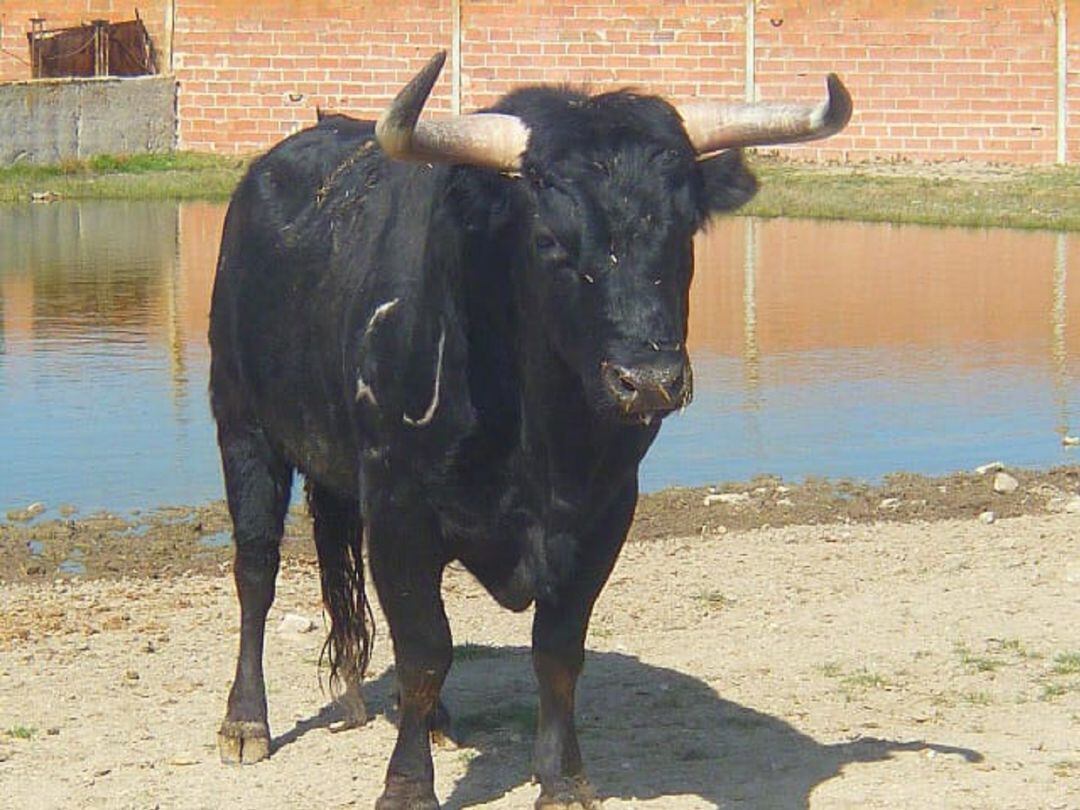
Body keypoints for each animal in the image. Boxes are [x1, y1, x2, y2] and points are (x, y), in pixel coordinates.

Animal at [208, 54, 851, 807]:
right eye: (548, 241)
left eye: (683, 232)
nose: (649, 381)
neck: (537, 436)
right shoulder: (400, 507)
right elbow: (425, 648)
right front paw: (407, 786)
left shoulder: (605, 510)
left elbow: (558, 650)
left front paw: (563, 777)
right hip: (244, 427)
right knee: (256, 572)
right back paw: (246, 722)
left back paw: (431, 719)